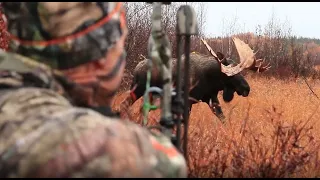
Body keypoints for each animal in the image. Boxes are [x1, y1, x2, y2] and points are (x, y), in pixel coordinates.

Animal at [121, 37, 272, 122]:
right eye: (233, 74)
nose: (247, 88)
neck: (211, 80)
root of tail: (136, 68)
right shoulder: (187, 101)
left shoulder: (212, 98)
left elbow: (222, 118)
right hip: (137, 90)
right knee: (125, 104)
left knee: (142, 109)